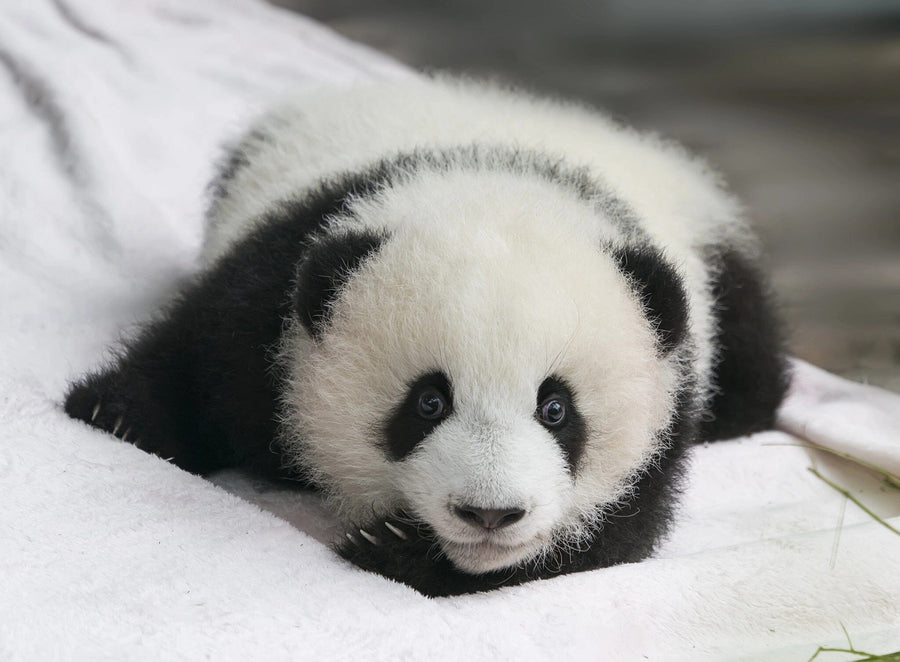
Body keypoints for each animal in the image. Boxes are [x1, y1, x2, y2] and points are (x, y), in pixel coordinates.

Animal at [64, 76, 789, 597]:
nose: (490, 514)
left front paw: (393, 548)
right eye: (428, 402)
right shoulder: (294, 265)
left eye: (556, 410)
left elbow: (611, 536)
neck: (491, 179)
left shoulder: (668, 393)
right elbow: (204, 351)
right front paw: (116, 412)